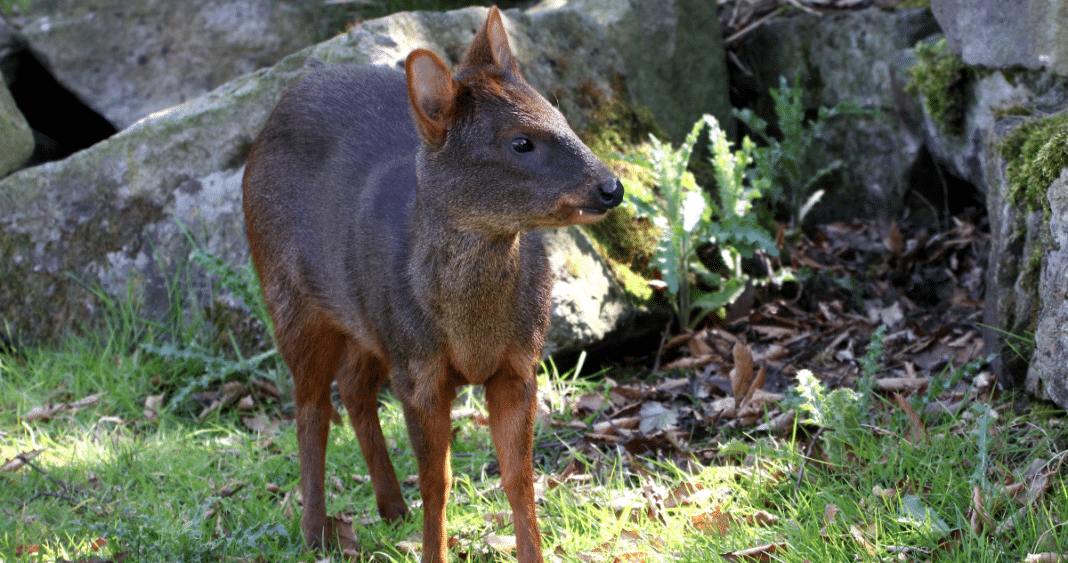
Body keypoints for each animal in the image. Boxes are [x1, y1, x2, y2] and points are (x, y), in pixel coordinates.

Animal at [240, 5, 623, 563]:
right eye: (521, 142)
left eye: (562, 117)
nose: (611, 187)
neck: (472, 327)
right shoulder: (419, 369)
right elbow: (437, 481)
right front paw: (432, 550)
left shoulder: (518, 364)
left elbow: (519, 478)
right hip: (288, 294)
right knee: (310, 407)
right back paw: (315, 533)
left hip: (368, 323)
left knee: (352, 386)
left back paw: (390, 508)